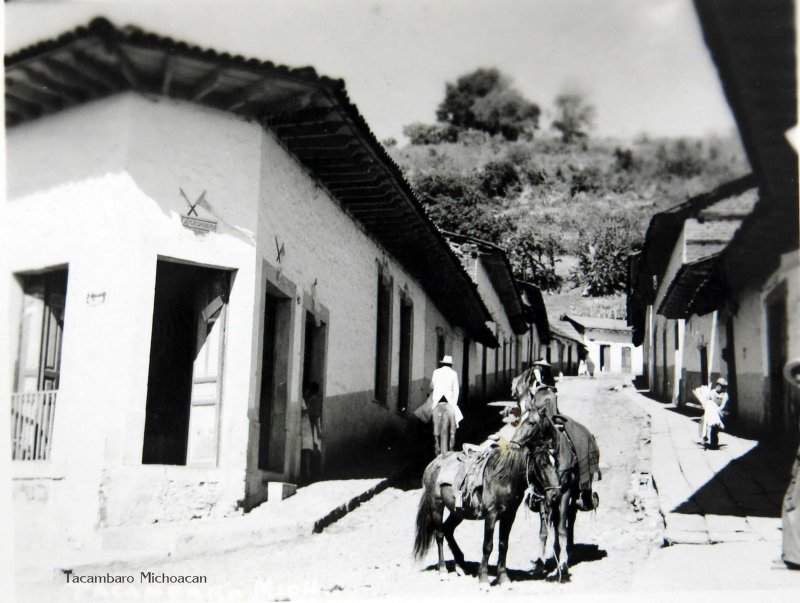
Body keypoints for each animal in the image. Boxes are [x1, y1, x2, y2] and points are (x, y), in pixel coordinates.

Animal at [416, 404, 560, 588]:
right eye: (542, 463)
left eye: (555, 462)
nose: (555, 493)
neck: (505, 477)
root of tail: (432, 464)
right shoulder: (491, 515)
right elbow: (488, 545)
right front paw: (483, 578)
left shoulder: (508, 516)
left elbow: (503, 544)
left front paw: (503, 578)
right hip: (436, 506)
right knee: (439, 533)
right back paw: (443, 571)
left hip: (458, 511)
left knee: (448, 529)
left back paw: (461, 566)